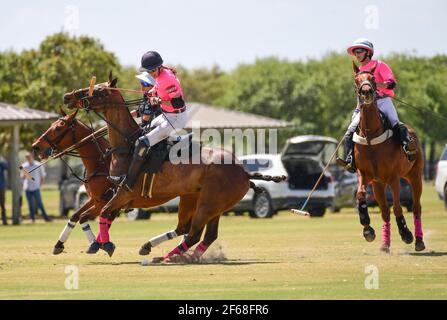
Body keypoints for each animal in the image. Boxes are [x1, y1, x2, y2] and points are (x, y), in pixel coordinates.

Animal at [63, 73, 288, 262]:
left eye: (99, 91)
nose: (67, 96)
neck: (125, 146)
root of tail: (244, 171)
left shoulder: (123, 193)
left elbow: (104, 212)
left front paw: (105, 244)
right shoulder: (116, 196)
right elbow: (100, 214)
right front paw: (98, 244)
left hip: (208, 204)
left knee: (194, 233)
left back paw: (168, 257)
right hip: (210, 204)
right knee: (204, 234)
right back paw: (172, 253)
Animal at [352, 62, 426, 252]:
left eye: (372, 78)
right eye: (356, 80)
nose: (367, 92)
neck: (371, 136)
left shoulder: (394, 177)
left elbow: (398, 208)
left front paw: (406, 233)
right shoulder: (365, 175)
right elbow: (361, 195)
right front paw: (367, 228)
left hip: (415, 176)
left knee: (416, 207)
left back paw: (419, 241)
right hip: (379, 184)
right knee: (385, 211)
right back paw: (385, 244)